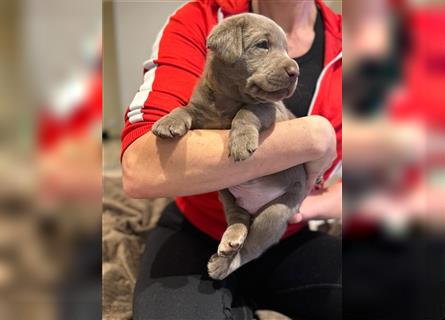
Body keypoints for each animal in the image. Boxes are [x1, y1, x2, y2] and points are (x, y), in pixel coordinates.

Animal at [152, 12, 306, 278]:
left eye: (287, 49)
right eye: (263, 45)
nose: (294, 71)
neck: (227, 100)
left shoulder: (273, 109)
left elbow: (248, 110)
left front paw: (241, 141)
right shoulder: (200, 110)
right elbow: (184, 108)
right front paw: (168, 122)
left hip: (277, 211)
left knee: (252, 250)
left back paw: (223, 265)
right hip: (227, 194)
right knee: (238, 218)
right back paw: (231, 238)